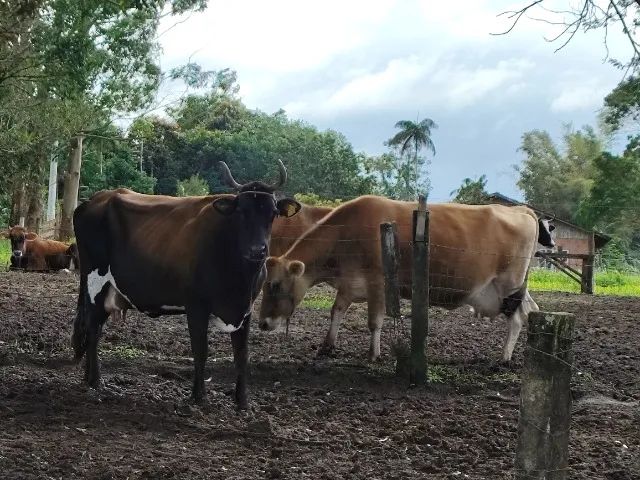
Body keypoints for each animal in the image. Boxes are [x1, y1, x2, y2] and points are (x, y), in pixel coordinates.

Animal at [71, 161, 301, 409]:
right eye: (241, 211)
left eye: (273, 213)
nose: (257, 250)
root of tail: (97, 198)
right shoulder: (196, 305)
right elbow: (200, 350)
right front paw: (199, 396)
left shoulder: (245, 309)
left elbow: (241, 354)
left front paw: (242, 402)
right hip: (95, 281)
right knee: (93, 327)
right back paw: (95, 380)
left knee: (93, 326)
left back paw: (88, 377)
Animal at [258, 196, 556, 363]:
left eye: (276, 285)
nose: (262, 323)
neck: (347, 233)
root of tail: (521, 210)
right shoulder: (349, 284)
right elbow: (337, 312)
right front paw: (326, 346)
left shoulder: (378, 283)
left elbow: (374, 322)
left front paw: (374, 354)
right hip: (514, 289)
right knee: (532, 311)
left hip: (509, 285)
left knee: (516, 319)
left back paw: (504, 357)